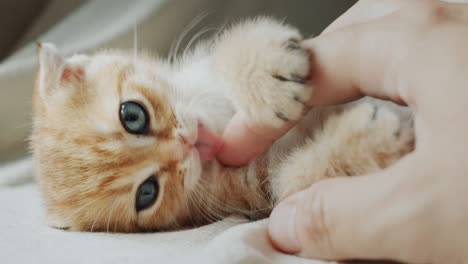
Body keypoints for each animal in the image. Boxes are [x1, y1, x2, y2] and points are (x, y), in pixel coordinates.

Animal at [31, 17, 414, 232]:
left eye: (133, 115)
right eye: (147, 194)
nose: (185, 145)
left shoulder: (203, 69)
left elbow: (226, 53)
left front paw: (266, 73)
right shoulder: (254, 191)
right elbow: (293, 179)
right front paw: (367, 142)